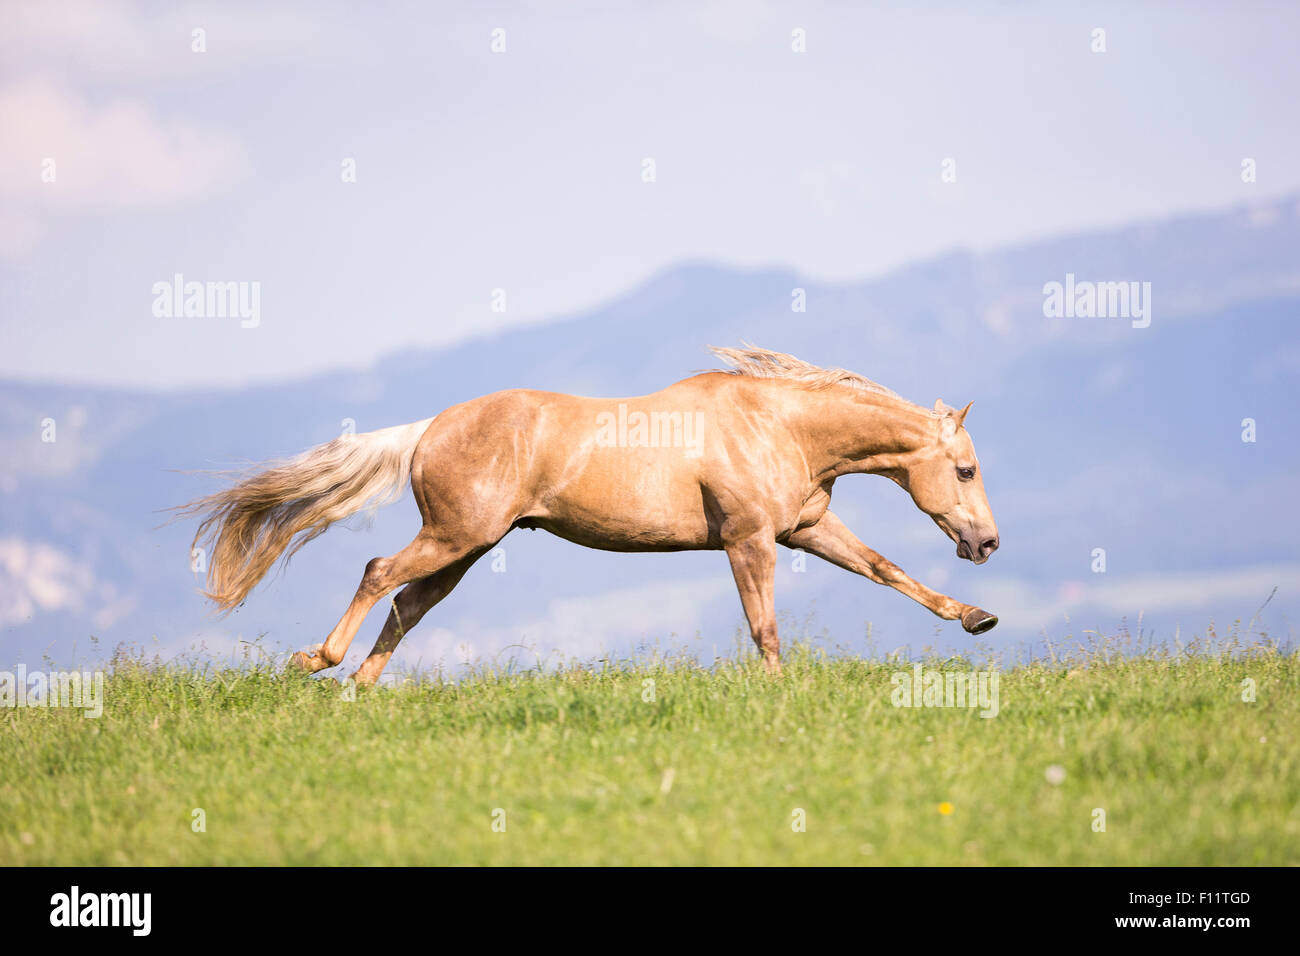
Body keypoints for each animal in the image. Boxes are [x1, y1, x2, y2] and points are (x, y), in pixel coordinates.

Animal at [180, 348, 993, 686]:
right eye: (965, 469)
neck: (776, 425)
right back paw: (316, 663)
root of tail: (427, 429)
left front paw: (975, 617)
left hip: (466, 549)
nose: (986, 542)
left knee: (409, 603)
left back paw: (358, 692)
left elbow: (887, 571)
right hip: (456, 535)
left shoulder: (804, 529)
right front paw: (776, 692)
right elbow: (764, 624)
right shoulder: (749, 540)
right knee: (380, 573)